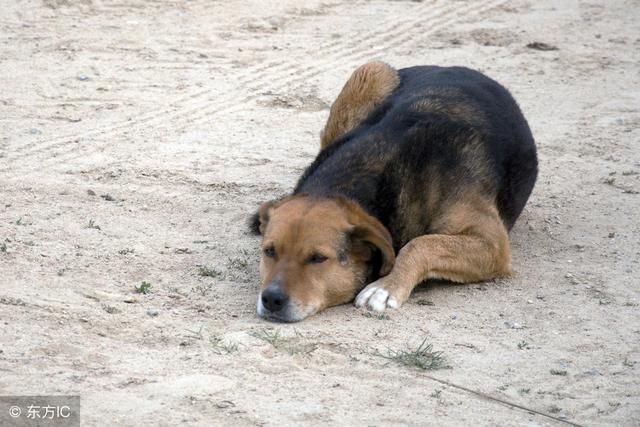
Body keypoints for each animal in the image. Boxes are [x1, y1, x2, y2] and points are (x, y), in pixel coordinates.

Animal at [249, 61, 536, 322]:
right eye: (269, 251)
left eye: (318, 258)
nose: (272, 299)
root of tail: (452, 66)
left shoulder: (493, 244)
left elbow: (419, 244)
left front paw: (386, 286)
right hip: (370, 70)